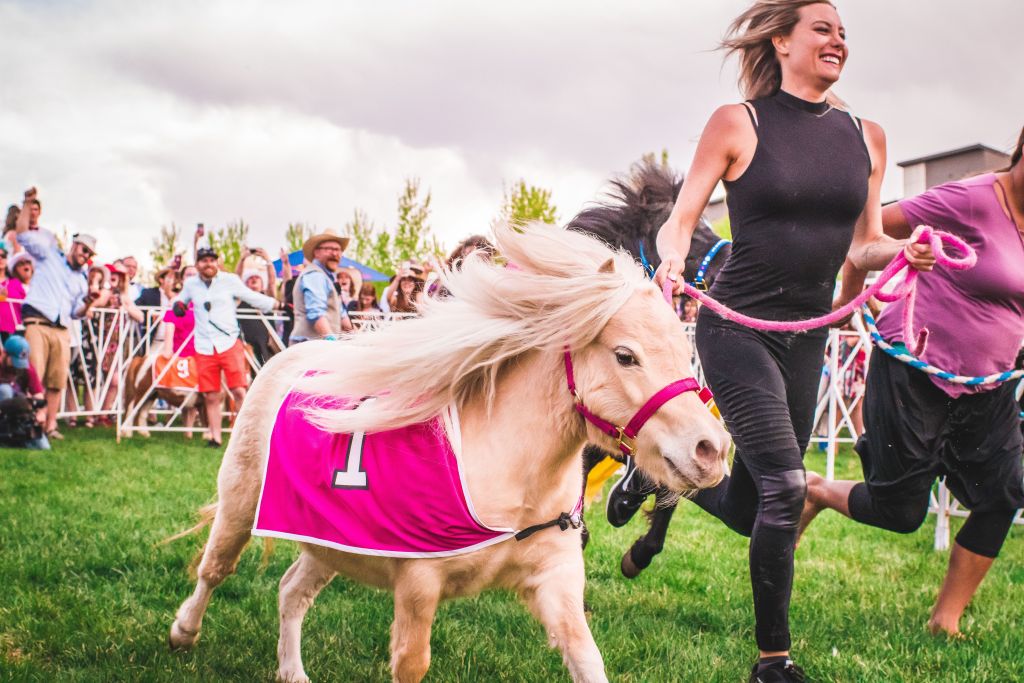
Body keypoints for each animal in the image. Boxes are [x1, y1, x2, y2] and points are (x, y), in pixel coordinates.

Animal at [167, 222, 730, 683]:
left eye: (685, 352)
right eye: (625, 356)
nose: (712, 449)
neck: (508, 479)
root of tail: (287, 357)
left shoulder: (557, 581)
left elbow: (587, 660)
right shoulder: (419, 587)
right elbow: (412, 664)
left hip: (329, 536)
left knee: (291, 590)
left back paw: (292, 671)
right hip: (241, 504)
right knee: (215, 569)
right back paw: (183, 633)